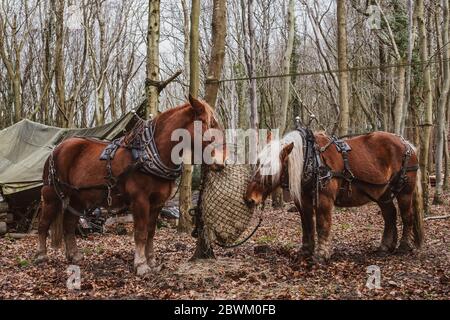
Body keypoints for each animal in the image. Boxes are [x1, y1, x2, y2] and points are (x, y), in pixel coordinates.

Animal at [34, 96, 225, 276]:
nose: (221, 162)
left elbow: (150, 232)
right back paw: (41, 255)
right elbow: (140, 232)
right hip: (51, 195)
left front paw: (152, 261)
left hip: (78, 199)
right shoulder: (139, 200)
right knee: (43, 224)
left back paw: (74, 255)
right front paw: (141, 265)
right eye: (208, 125)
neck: (150, 154)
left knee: (68, 224)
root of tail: (57, 148)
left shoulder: (157, 203)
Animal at [244, 130, 424, 262]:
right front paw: (305, 251)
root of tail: (408, 144)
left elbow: (322, 225)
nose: (249, 198)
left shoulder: (324, 200)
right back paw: (385, 247)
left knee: (406, 216)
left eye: (268, 166)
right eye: (258, 162)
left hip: (405, 192)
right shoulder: (303, 202)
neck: (311, 160)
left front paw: (321, 254)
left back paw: (403, 246)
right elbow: (307, 225)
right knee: (390, 215)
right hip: (382, 193)